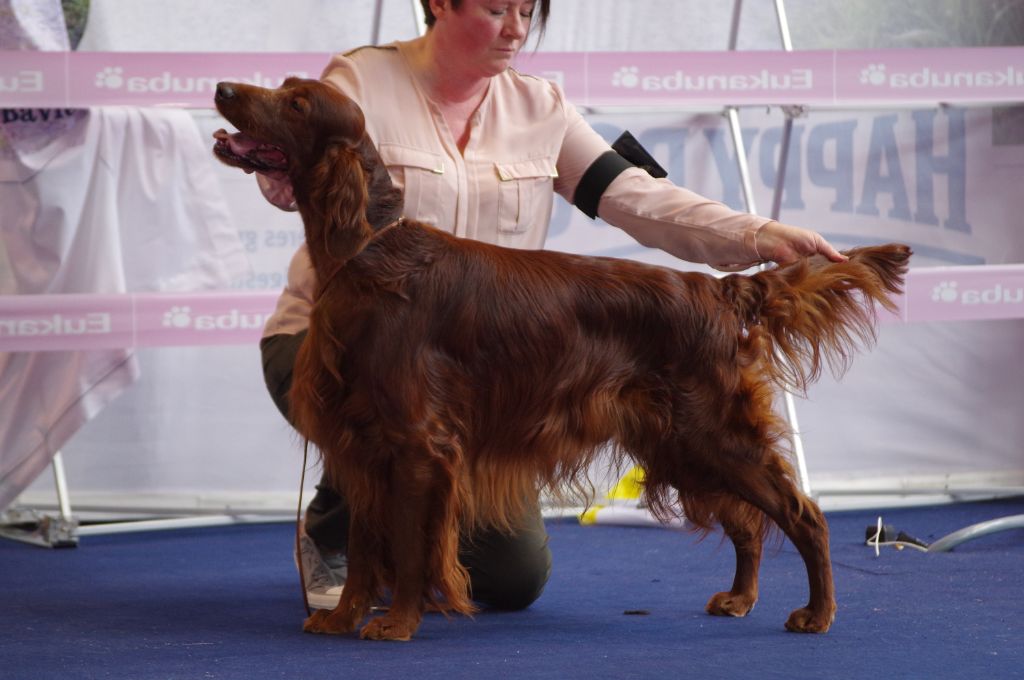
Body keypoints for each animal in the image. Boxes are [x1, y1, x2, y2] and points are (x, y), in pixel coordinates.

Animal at [211, 76, 909, 639]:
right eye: (284, 86)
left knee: (802, 514)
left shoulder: (417, 446)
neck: (367, 252)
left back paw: (817, 613)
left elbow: (409, 548)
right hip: (681, 444)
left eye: (296, 103)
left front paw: (398, 624)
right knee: (745, 523)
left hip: (712, 434)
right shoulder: (361, 444)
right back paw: (740, 599)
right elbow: (361, 549)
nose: (222, 87)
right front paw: (343, 618)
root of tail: (715, 289)